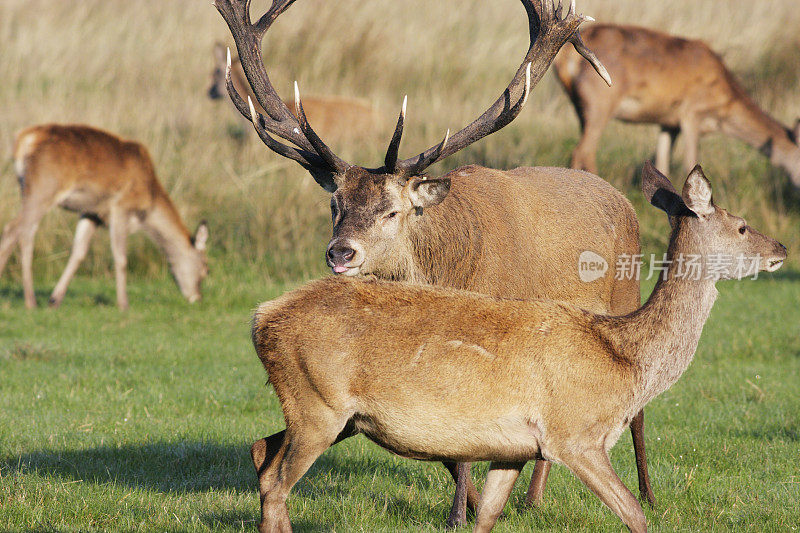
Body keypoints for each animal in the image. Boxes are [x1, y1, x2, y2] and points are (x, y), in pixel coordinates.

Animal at [0, 123, 209, 310]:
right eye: (206, 269)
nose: (197, 298)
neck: (148, 204)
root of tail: (24, 140)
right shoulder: (120, 206)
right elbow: (120, 257)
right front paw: (124, 304)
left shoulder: (92, 212)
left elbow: (79, 252)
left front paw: (54, 300)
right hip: (44, 188)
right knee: (16, 230)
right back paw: (30, 302)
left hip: (27, 189)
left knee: (22, 233)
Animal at [250, 163, 788, 532]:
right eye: (742, 226)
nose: (781, 248)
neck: (625, 358)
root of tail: (261, 317)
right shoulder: (575, 434)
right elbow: (635, 515)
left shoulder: (513, 448)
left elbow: (488, 516)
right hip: (317, 404)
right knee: (277, 484)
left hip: (335, 414)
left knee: (261, 453)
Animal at [552, 23, 800, 184]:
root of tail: (565, 57)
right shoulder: (691, 113)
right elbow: (690, 162)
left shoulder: (669, 123)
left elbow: (662, 164)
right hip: (601, 103)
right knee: (583, 151)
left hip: (580, 107)